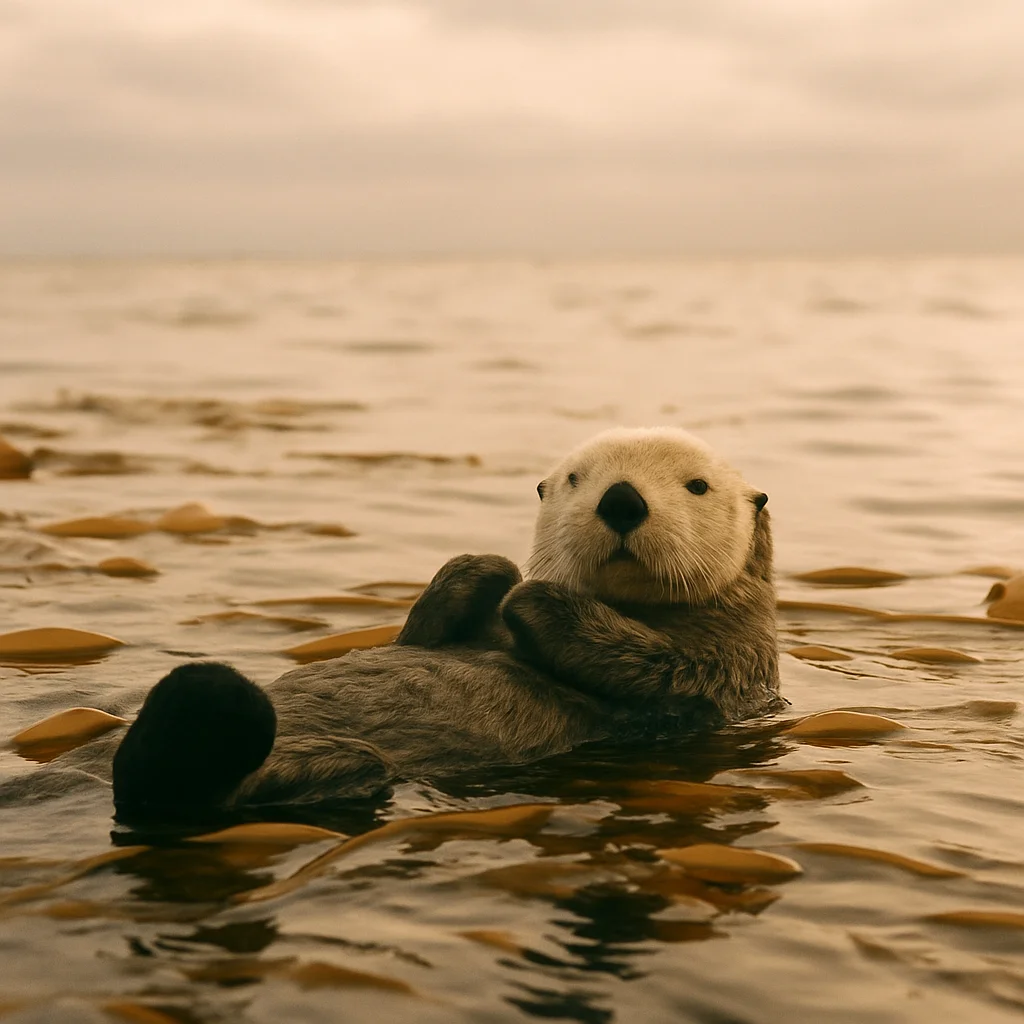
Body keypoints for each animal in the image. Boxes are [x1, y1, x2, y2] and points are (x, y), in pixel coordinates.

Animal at [112, 427, 781, 822]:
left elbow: (663, 667)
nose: (621, 499)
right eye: (574, 479)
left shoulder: (731, 661)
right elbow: (426, 627)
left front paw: (534, 596)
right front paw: (492, 571)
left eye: (697, 486)